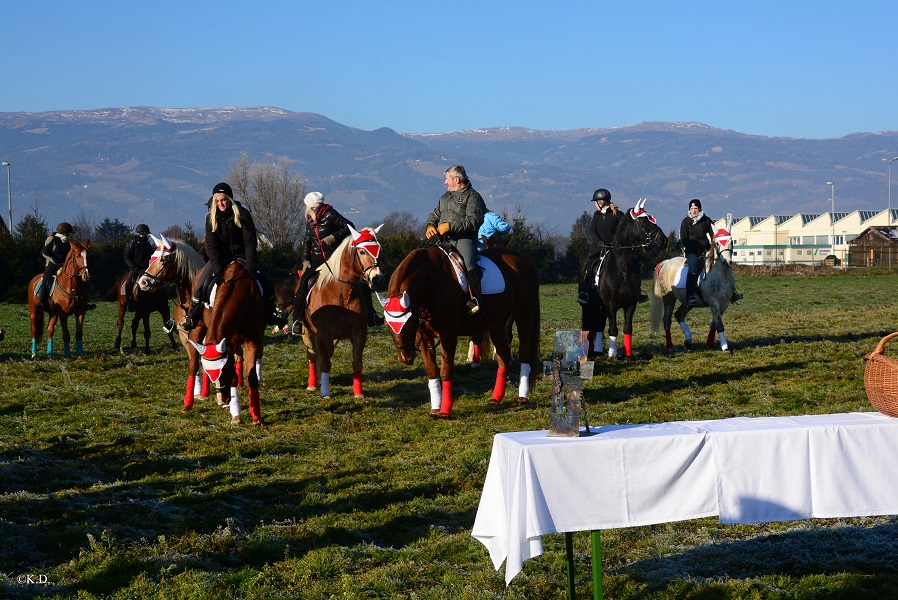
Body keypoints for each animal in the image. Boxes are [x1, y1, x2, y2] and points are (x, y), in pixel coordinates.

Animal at [135, 237, 206, 410]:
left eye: (164, 260)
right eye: (151, 258)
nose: (143, 282)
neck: (189, 304)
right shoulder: (185, 337)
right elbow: (194, 363)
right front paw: (197, 393)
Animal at [186, 260, 262, 424]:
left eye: (224, 370)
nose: (223, 400)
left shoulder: (252, 340)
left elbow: (251, 376)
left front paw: (256, 416)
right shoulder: (229, 342)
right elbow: (234, 378)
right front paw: (236, 415)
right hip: (198, 328)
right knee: (193, 364)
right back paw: (188, 403)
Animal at [300, 225, 384, 398]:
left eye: (379, 249)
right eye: (362, 252)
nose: (378, 279)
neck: (343, 291)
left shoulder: (359, 334)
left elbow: (357, 363)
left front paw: (358, 393)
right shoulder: (323, 334)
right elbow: (325, 363)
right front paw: (326, 394)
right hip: (307, 332)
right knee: (312, 355)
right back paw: (312, 384)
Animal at [374, 244, 536, 418]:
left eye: (409, 323)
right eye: (387, 325)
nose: (406, 358)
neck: (430, 281)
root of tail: (525, 259)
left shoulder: (448, 335)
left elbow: (445, 371)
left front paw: (445, 410)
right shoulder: (424, 336)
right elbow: (432, 370)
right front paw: (435, 408)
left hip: (523, 315)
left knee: (525, 353)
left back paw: (522, 397)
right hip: (496, 324)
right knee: (503, 358)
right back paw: (495, 399)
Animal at [580, 199, 664, 358]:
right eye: (644, 220)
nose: (664, 240)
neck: (622, 267)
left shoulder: (631, 303)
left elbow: (627, 328)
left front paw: (628, 354)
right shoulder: (611, 304)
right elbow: (613, 329)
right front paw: (613, 354)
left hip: (601, 306)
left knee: (599, 325)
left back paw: (597, 350)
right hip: (590, 305)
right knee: (588, 325)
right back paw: (589, 351)